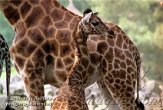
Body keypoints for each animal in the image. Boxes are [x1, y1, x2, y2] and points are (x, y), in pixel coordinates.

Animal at [0, 0, 143, 109]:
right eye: (95, 22)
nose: (111, 33)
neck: (20, 17)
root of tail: (133, 48)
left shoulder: (30, 73)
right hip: (106, 84)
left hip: (121, 82)